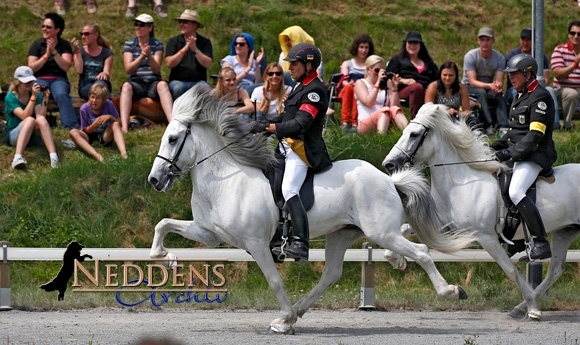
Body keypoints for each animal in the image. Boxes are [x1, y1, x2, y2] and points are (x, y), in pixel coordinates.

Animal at [148, 84, 476, 332]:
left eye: (173, 139)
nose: (155, 180)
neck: (227, 178)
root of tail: (387, 180)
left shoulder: (256, 244)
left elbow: (274, 281)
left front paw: (283, 318)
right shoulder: (209, 234)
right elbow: (163, 224)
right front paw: (166, 259)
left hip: (381, 231)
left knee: (420, 252)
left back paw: (451, 290)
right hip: (343, 233)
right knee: (331, 274)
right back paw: (300, 311)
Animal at [380, 102, 580, 320]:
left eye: (414, 134)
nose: (389, 164)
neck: (461, 182)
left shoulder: (486, 237)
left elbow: (510, 270)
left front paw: (533, 306)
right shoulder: (445, 226)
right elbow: (401, 232)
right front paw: (397, 260)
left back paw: (528, 304)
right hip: (565, 231)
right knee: (555, 271)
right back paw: (521, 307)